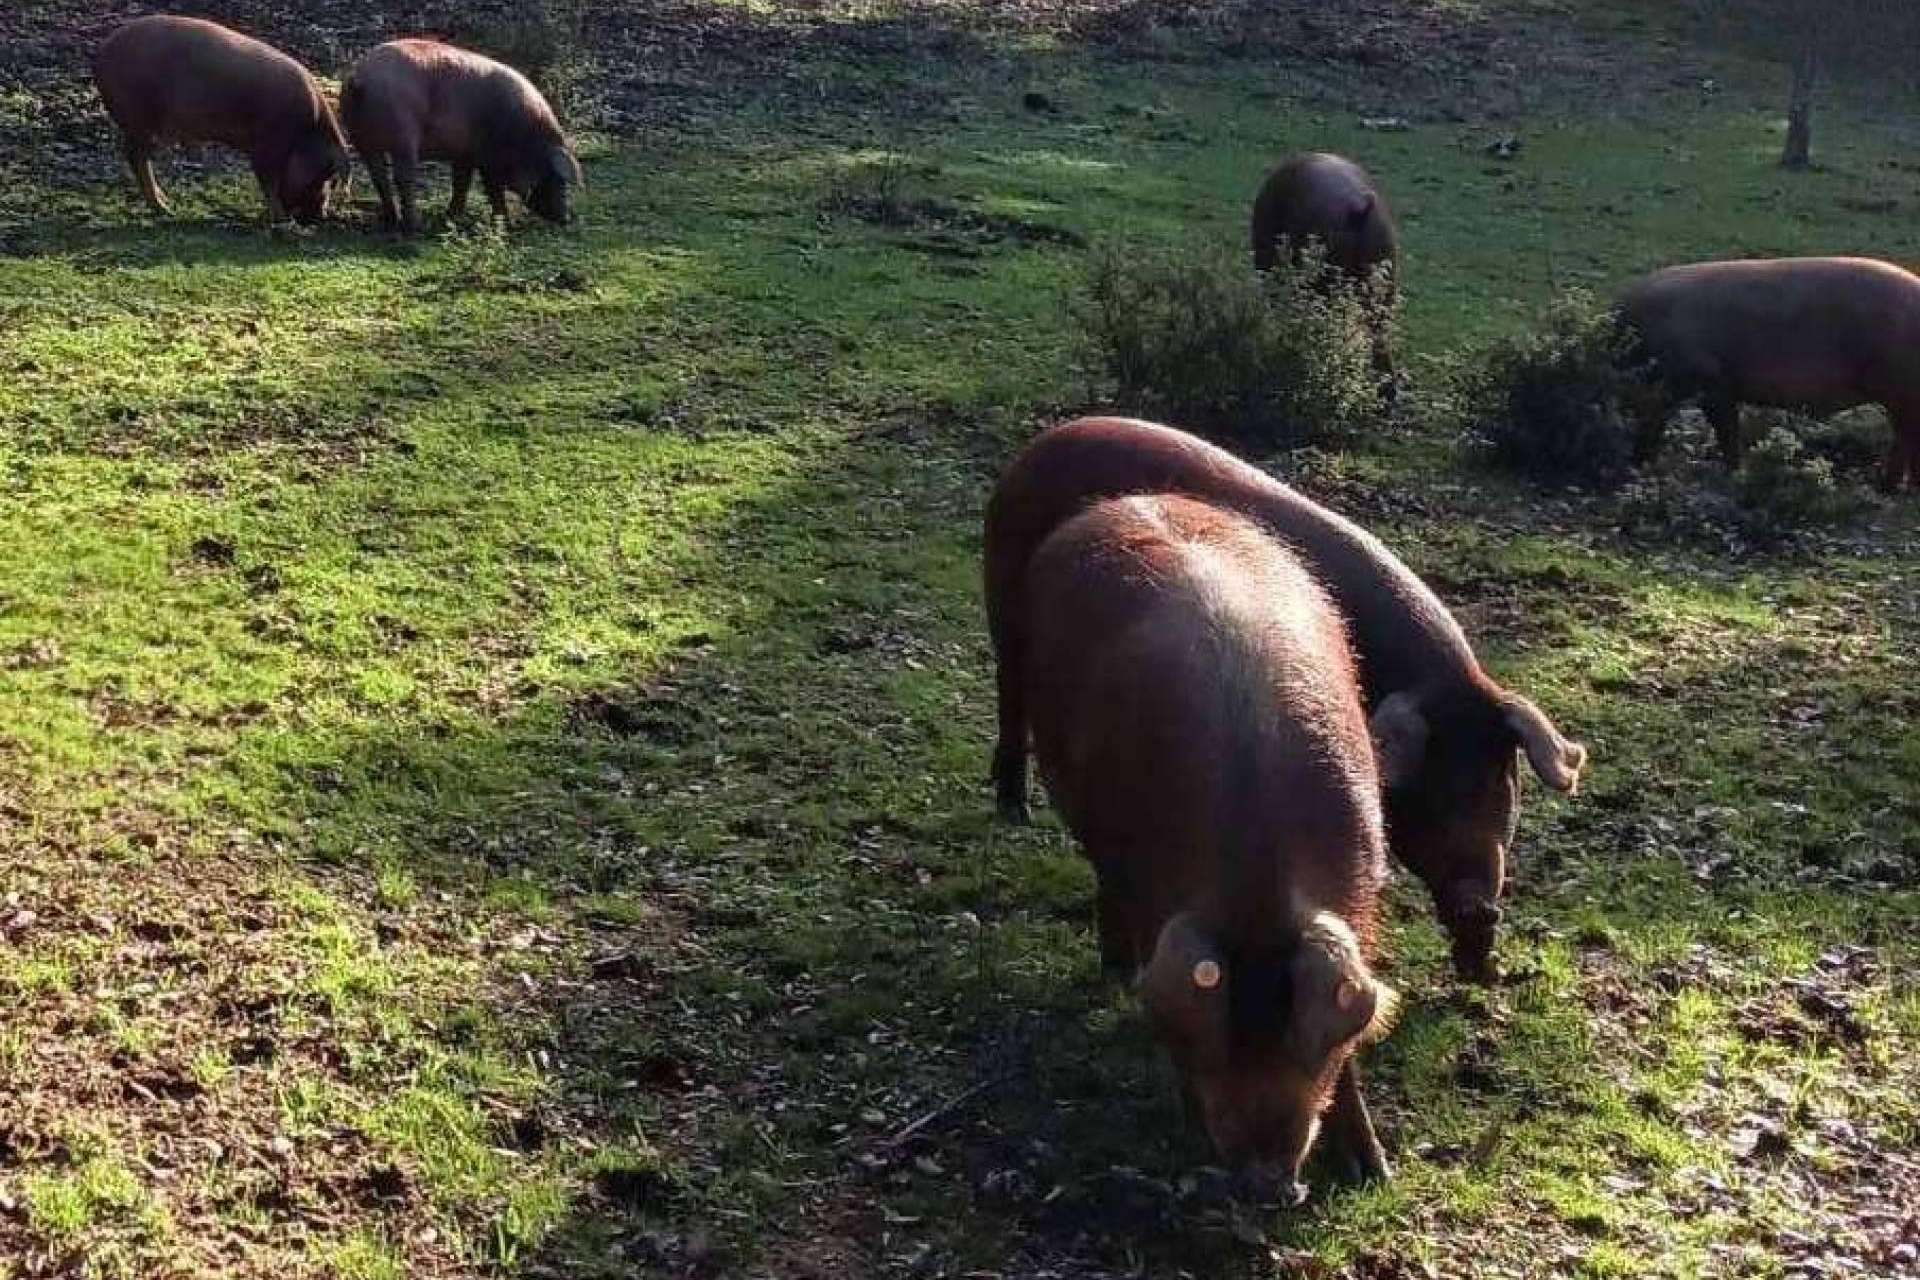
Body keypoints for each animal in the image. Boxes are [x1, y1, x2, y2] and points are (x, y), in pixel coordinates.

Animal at [92, 16, 350, 224]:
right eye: (325, 175)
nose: (319, 217)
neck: (304, 132)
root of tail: (102, 51)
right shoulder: (267, 145)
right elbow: (268, 182)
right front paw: (281, 221)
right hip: (140, 120)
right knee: (137, 159)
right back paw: (165, 209)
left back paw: (166, 204)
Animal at [340, 40, 582, 232]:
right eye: (556, 178)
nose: (566, 218)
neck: (526, 139)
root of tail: (360, 78)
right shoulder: (488, 158)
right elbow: (492, 188)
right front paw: (505, 224)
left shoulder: (465, 154)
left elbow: (461, 183)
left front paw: (451, 217)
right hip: (403, 135)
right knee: (403, 177)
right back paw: (415, 226)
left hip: (360, 138)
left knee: (378, 175)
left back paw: (392, 220)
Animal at [986, 417, 1588, 983]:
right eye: (1430, 794)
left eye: (1500, 786)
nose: (1481, 908)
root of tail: (1043, 443)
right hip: (1005, 613)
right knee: (1011, 703)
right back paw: (1016, 812)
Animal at [1022, 492, 1399, 1192]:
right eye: (1224, 1032)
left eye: (1292, 1030)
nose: (1270, 1180)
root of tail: (1125, 501)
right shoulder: (1150, 895)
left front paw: (1373, 1174)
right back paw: (1115, 969)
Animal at [1616, 256, 1920, 490]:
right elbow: (1658, 421)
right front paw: (1640, 462)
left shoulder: (1709, 379)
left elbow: (1725, 429)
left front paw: (1736, 475)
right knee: (1903, 437)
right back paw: (1888, 488)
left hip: (1900, 385)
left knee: (1907, 436)